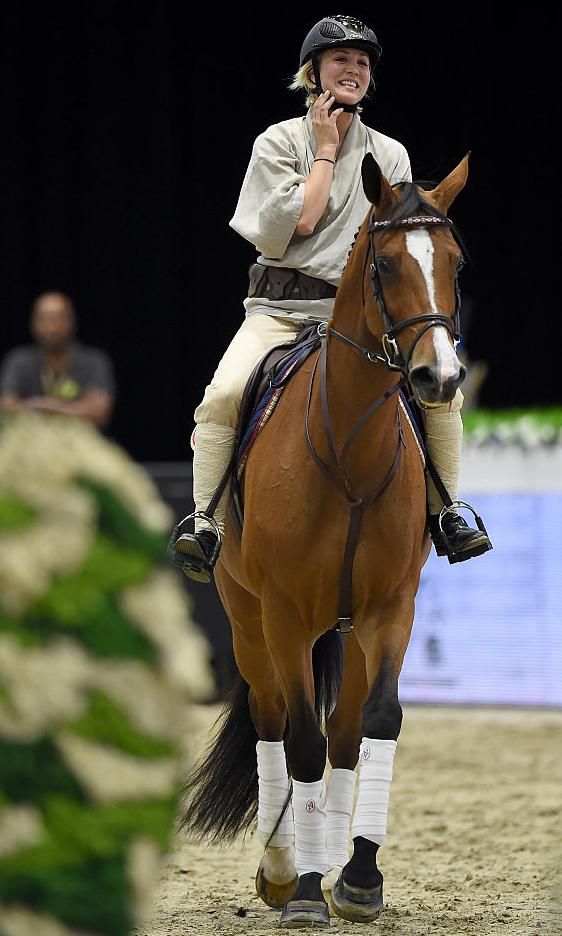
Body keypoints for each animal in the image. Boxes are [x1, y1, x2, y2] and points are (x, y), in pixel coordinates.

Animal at [180, 154, 468, 928]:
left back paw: (333, 859)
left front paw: (359, 876)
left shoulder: (390, 608)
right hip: (250, 622)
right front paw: (306, 889)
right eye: (386, 263)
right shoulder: (284, 616)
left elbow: (376, 722)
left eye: (456, 262)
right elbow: (302, 743)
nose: (439, 377)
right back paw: (285, 869)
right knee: (273, 719)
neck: (350, 456)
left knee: (343, 734)